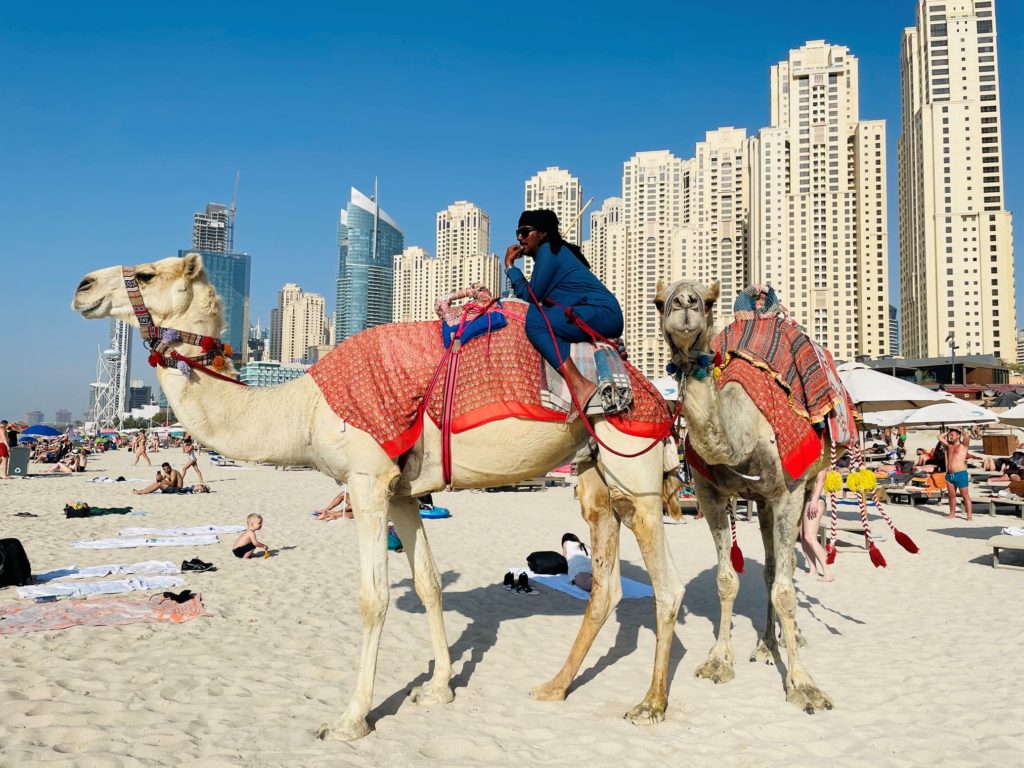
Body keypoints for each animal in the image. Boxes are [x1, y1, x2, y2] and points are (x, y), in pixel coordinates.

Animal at [74, 256, 688, 741]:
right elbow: (429, 583)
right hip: (594, 478)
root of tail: (650, 389)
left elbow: (373, 599)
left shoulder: (366, 479)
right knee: (607, 584)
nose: (82, 285)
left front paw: (350, 720)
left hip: (635, 466)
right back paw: (555, 687)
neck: (304, 405)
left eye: (147, 273)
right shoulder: (401, 492)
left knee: (668, 585)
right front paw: (438, 689)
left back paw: (651, 704)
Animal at [651, 280, 835, 716]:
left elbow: (786, 590)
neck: (742, 435)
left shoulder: (788, 492)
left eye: (708, 300)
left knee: (785, 570)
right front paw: (719, 661)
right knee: (768, 568)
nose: (685, 304)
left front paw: (804, 686)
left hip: (801, 489)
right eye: (659, 301)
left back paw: (789, 639)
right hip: (762, 502)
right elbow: (726, 580)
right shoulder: (711, 495)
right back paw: (767, 645)